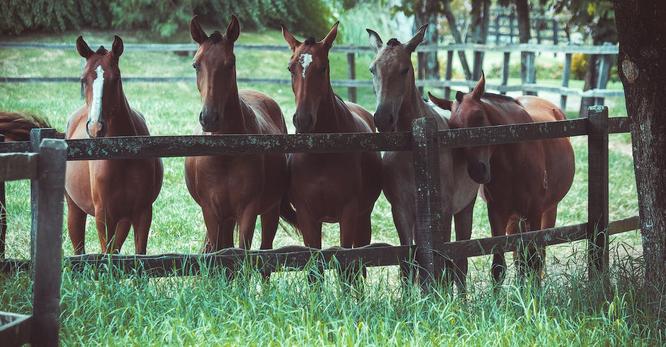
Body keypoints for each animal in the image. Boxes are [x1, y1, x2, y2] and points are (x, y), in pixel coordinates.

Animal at [65, 35, 163, 254]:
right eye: (83, 80)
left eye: (116, 79)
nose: (95, 127)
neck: (123, 154)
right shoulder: (104, 216)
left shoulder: (142, 212)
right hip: (75, 210)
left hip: (123, 220)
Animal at [185, 16, 292, 253]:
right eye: (196, 64)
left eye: (230, 63)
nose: (209, 117)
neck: (225, 155)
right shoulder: (211, 212)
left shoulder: (248, 211)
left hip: (269, 210)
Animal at [280, 22, 382, 256]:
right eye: (290, 68)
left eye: (323, 67)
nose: (303, 120)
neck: (322, 152)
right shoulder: (307, 216)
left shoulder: (349, 212)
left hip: (364, 217)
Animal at [366, 25, 480, 290]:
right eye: (372, 69)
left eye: (404, 69)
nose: (382, 119)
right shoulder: (401, 210)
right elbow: (408, 263)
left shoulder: (444, 210)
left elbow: (444, 262)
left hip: (465, 208)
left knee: (460, 263)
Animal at [428, 74, 572, 286]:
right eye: (453, 127)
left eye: (479, 117)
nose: (477, 171)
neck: (514, 159)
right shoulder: (497, 213)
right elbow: (499, 266)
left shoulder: (534, 211)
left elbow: (534, 260)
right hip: (515, 218)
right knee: (520, 257)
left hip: (548, 210)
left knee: (538, 255)